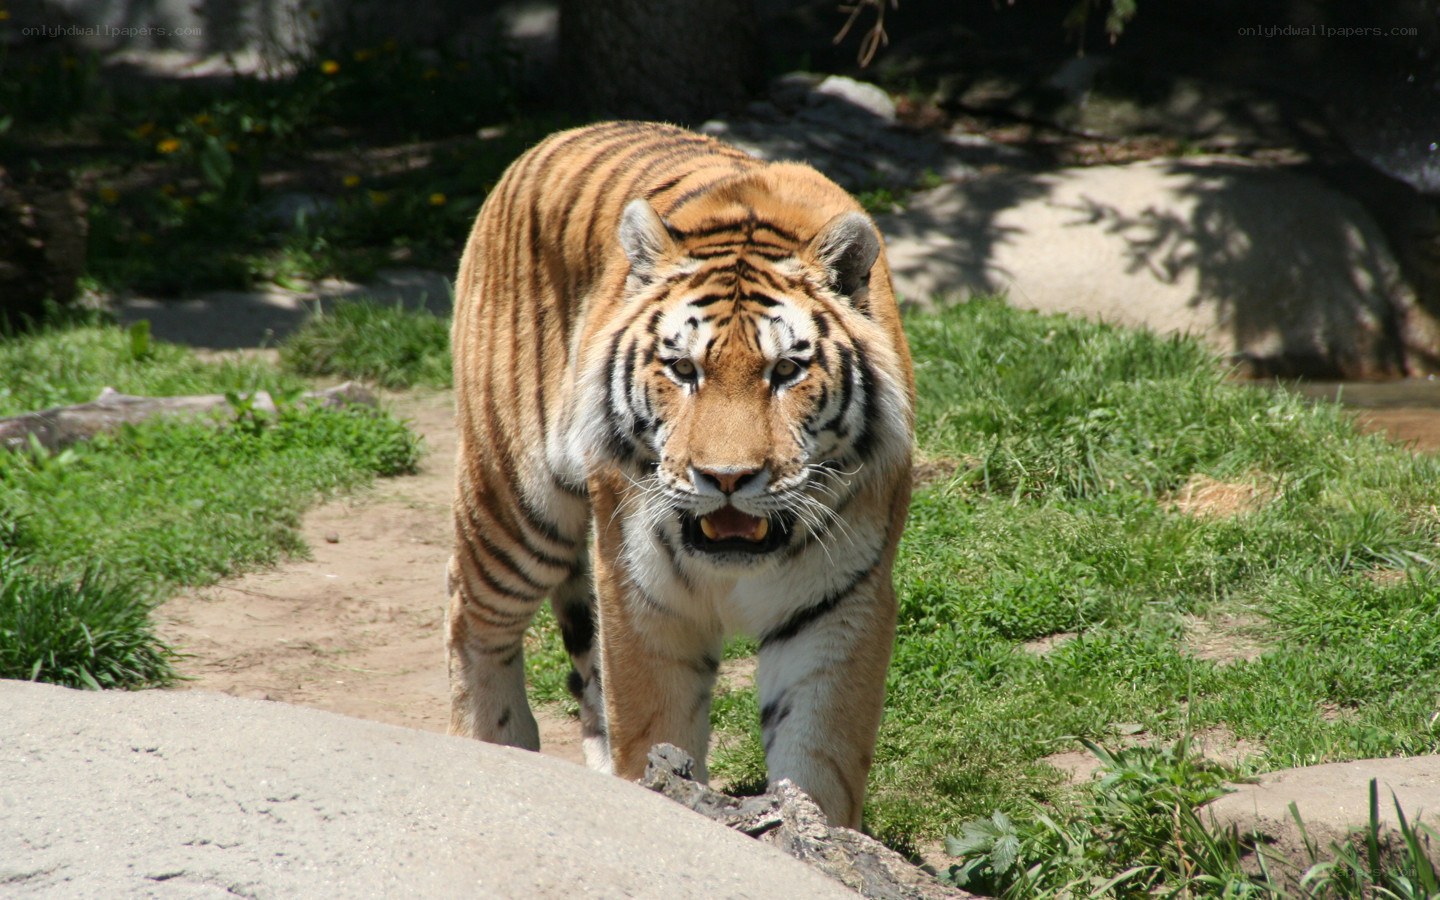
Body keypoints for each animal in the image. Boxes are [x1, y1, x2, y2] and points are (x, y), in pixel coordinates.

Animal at [446, 120, 915, 829]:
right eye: (684, 369)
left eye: (786, 371)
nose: (727, 478)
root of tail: (553, 137)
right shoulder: (641, 595)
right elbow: (654, 730)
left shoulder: (840, 605)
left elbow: (819, 760)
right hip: (515, 502)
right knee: (471, 620)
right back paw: (488, 748)